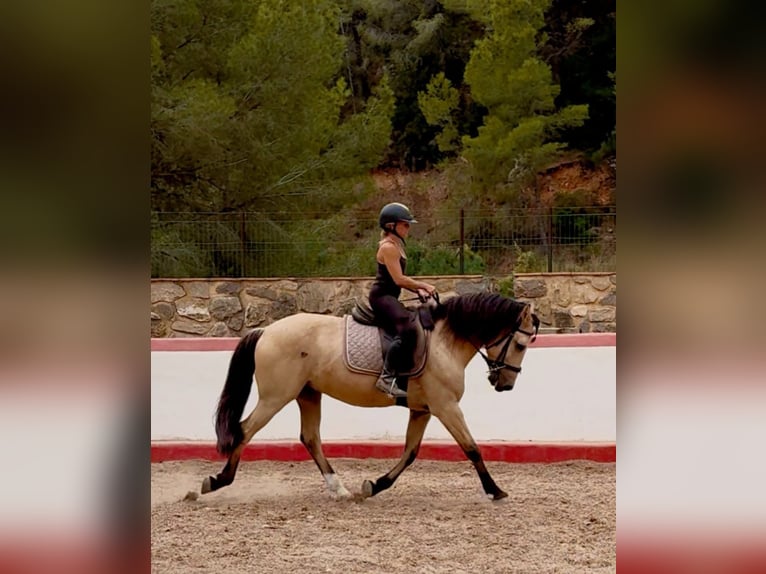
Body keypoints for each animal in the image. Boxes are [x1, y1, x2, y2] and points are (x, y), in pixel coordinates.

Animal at [201, 292, 539, 501]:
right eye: (521, 345)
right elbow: (471, 448)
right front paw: (495, 490)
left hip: (308, 394)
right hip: (276, 397)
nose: (505, 384)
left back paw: (339, 489)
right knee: (244, 430)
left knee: (310, 437)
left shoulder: (423, 410)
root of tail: (266, 331)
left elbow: (410, 453)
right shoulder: (445, 406)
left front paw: (375, 485)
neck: (445, 341)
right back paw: (217, 480)